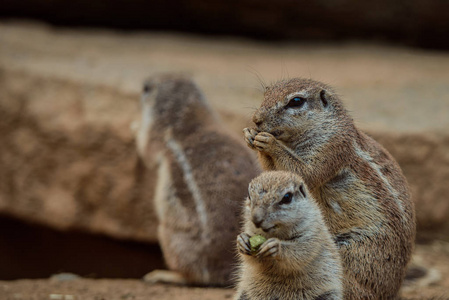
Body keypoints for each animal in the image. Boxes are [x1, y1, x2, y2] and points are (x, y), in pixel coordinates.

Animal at [134, 74, 260, 286]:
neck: (188, 113)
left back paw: (164, 274)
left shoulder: (157, 135)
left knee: (194, 276)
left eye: (146, 87)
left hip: (171, 235)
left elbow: (145, 149)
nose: (144, 81)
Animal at [234, 171, 340, 300]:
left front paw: (276, 247)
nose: (256, 219)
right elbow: (251, 259)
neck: (276, 233)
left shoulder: (313, 231)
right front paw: (242, 240)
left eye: (287, 197)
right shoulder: (249, 228)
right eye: (249, 195)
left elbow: (303, 250)